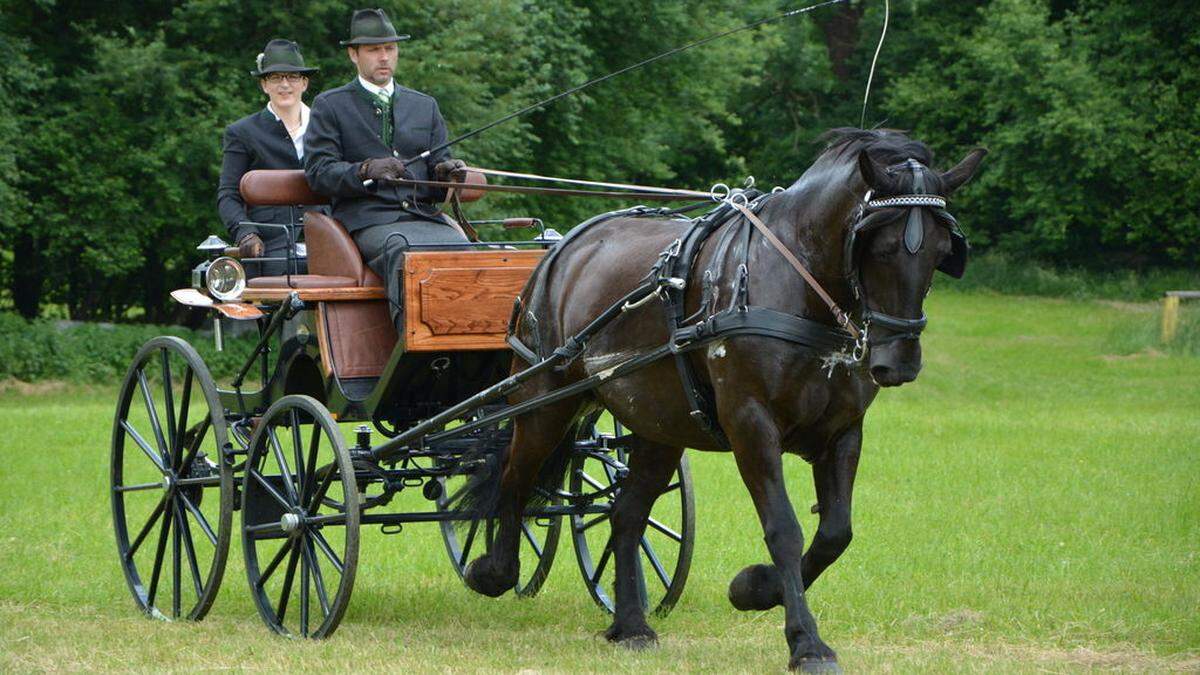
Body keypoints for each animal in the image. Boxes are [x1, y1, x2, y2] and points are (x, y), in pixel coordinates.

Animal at [458, 128, 984, 667]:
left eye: (942, 250)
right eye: (880, 246)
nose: (897, 363)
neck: (798, 289)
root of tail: (563, 249)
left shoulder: (842, 431)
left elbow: (836, 531)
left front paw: (756, 589)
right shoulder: (751, 425)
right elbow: (784, 529)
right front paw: (805, 642)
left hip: (658, 427)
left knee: (625, 515)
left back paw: (630, 624)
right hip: (545, 401)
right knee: (514, 480)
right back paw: (493, 571)